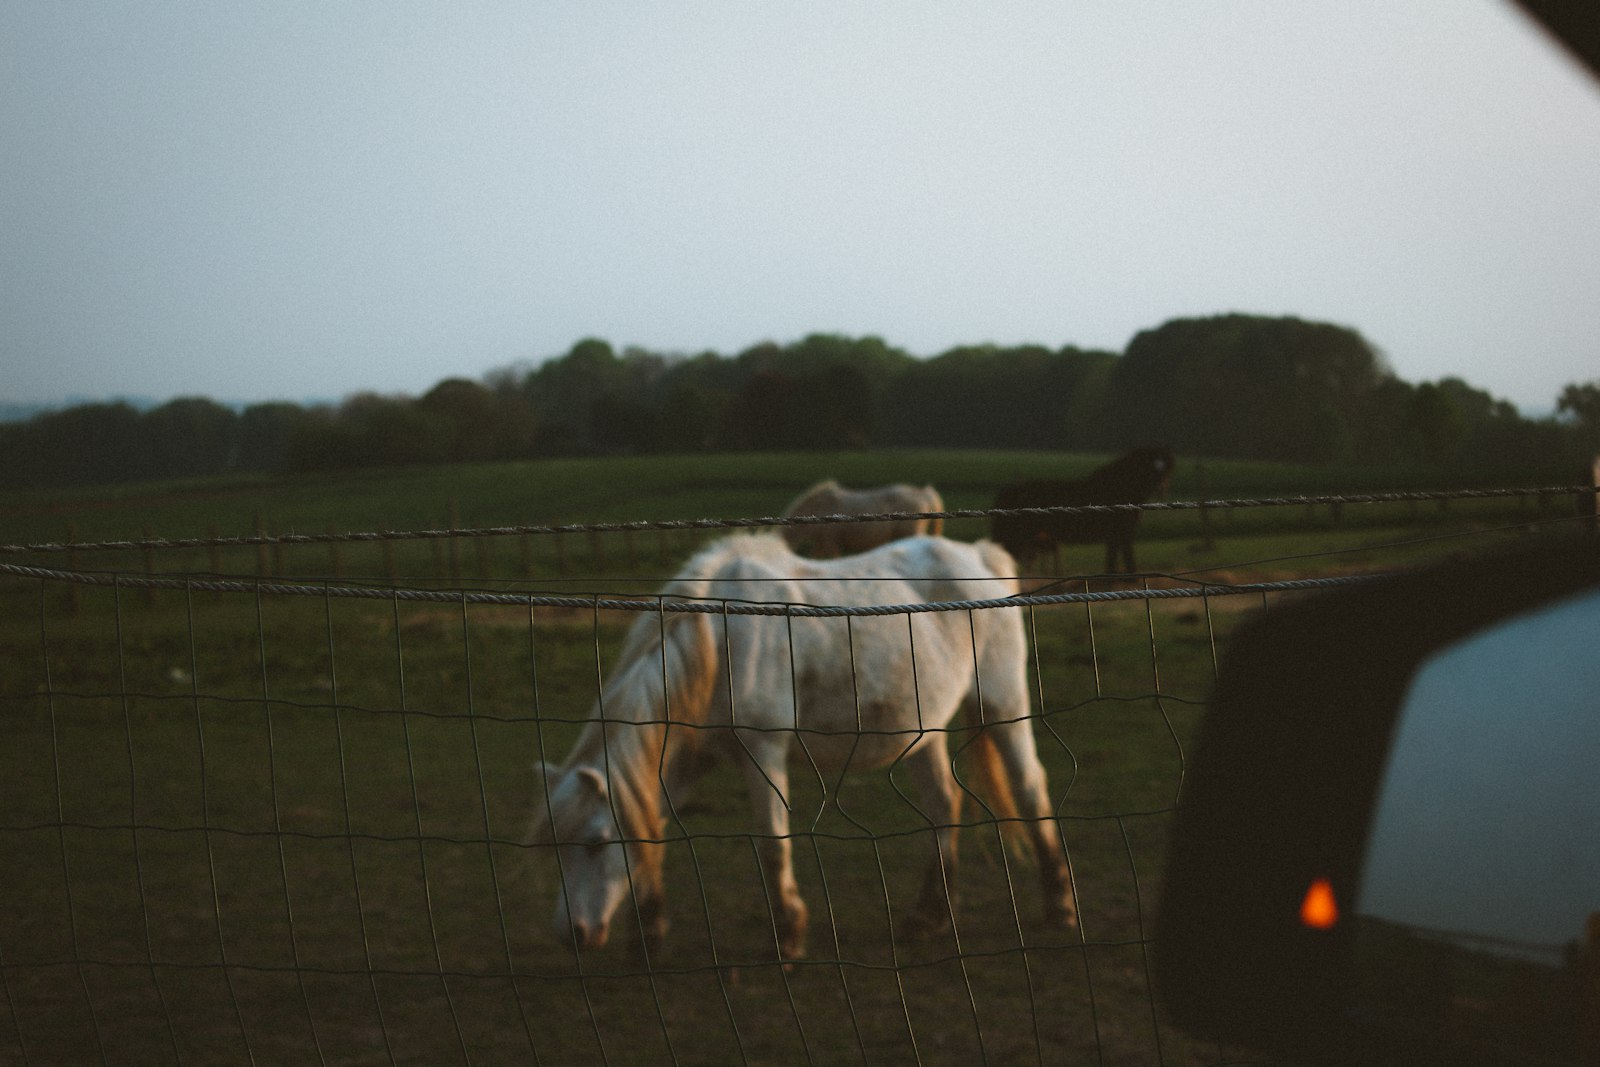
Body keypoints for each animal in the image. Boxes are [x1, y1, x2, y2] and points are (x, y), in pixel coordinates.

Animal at [528, 534, 1075, 959]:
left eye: (595, 843)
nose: (572, 934)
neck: (720, 636)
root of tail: (979, 554)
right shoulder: (691, 757)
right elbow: (652, 825)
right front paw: (650, 933)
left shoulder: (763, 750)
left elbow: (772, 844)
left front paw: (788, 935)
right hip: (924, 732)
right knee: (943, 806)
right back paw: (928, 917)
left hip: (1002, 703)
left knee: (1030, 787)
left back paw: (1060, 905)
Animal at [985, 444, 1177, 575]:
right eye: (1151, 466)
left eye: (1167, 467)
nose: (1162, 488)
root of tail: (1008, 490)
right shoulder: (1124, 531)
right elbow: (1127, 558)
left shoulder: (1116, 535)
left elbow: (1113, 560)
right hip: (1013, 538)